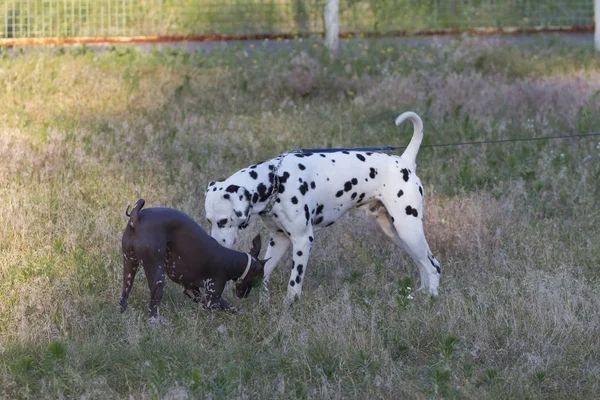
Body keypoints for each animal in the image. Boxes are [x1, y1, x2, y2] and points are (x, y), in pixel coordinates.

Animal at [119, 198, 264, 318]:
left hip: (129, 268)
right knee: (153, 307)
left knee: (124, 297)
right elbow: (234, 308)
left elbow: (202, 303)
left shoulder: (191, 290)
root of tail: (136, 218)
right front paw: (250, 313)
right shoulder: (213, 300)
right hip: (158, 276)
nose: (245, 296)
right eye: (257, 280)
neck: (230, 260)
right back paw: (156, 321)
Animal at [205, 111, 440, 302]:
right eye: (209, 221)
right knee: (423, 264)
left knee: (434, 266)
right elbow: (264, 272)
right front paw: (264, 303)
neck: (277, 180)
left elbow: (294, 285)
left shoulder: (302, 241)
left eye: (224, 221)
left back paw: (431, 298)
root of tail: (404, 162)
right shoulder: (278, 239)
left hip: (408, 230)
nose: (216, 246)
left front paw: (288, 308)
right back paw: (419, 294)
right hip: (398, 234)